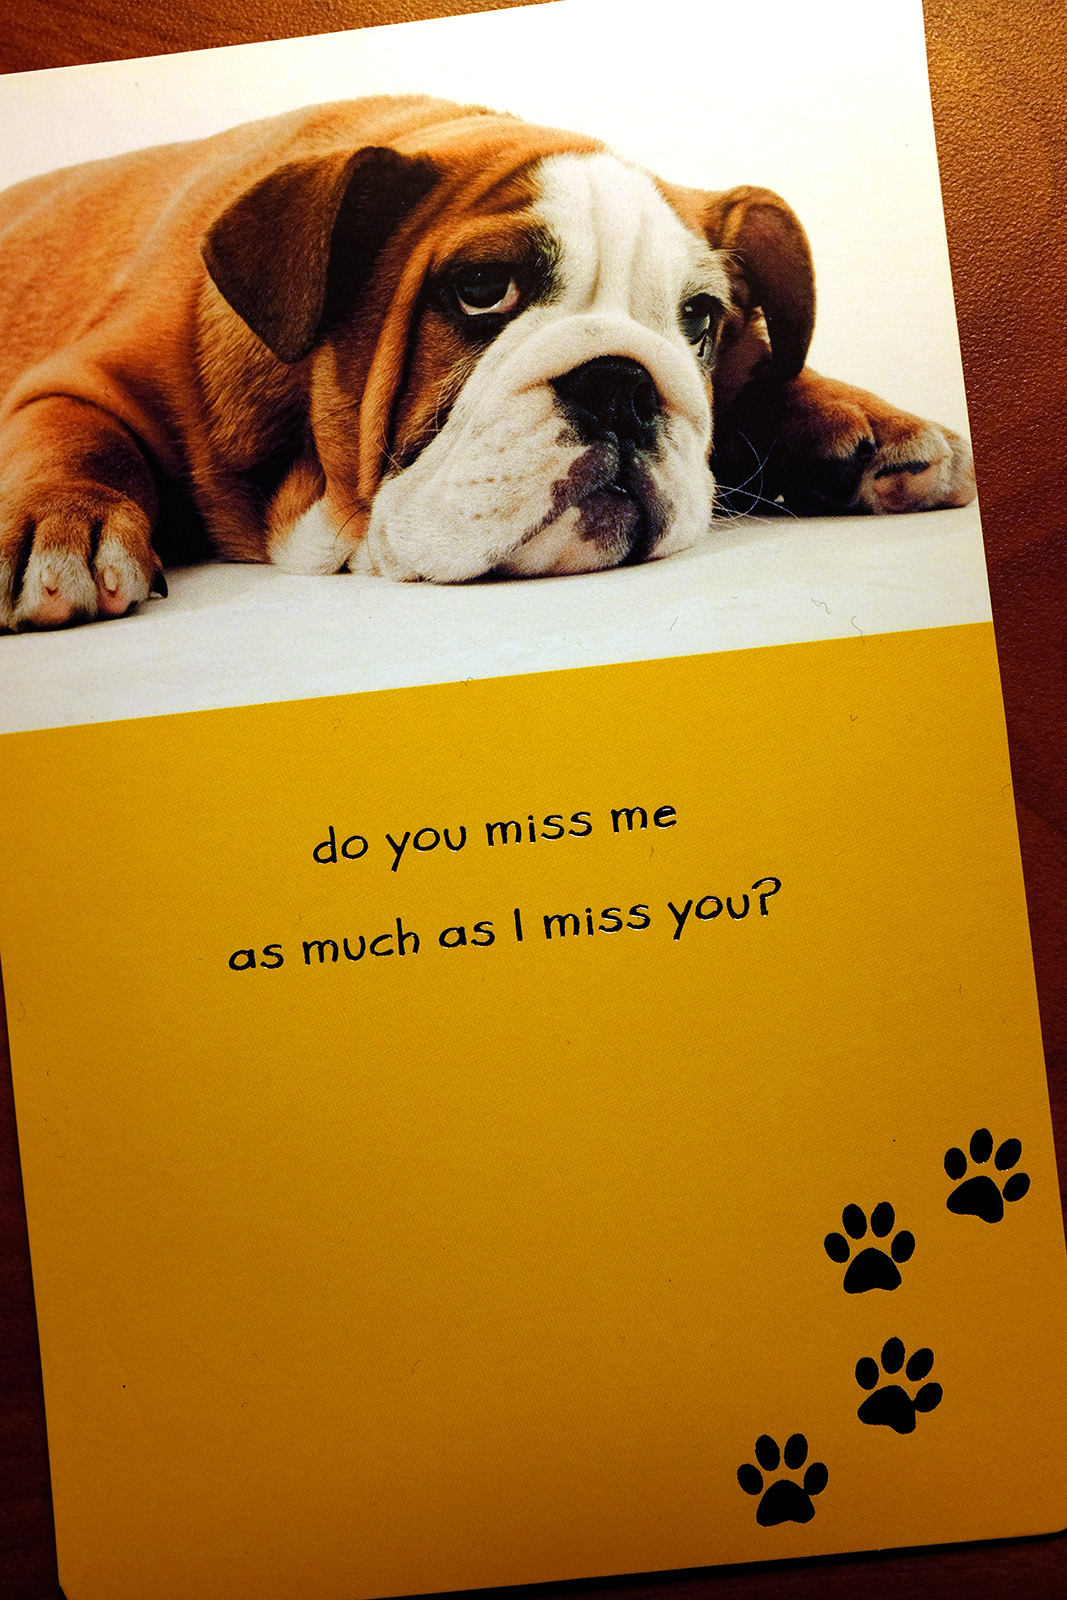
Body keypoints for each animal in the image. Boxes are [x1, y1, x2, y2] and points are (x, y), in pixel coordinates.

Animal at [0, 96, 976, 630]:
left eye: (699, 319)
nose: (622, 384)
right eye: (479, 289)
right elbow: (74, 439)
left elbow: (765, 372)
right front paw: (64, 524)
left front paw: (867, 420)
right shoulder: (84, 382)